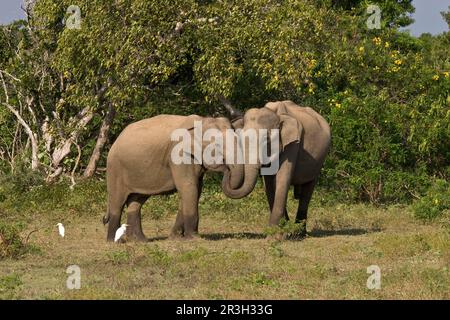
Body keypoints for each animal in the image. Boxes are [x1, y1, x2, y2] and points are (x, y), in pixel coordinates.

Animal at [103, 114, 243, 241]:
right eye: (217, 145)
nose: (227, 168)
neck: (201, 120)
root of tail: (115, 141)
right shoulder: (178, 154)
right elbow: (188, 187)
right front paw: (194, 238)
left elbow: (195, 190)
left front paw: (176, 238)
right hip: (115, 169)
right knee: (117, 202)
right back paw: (114, 241)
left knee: (136, 201)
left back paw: (139, 240)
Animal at [221, 101, 330, 236]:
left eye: (266, 140)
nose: (227, 168)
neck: (276, 114)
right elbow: (269, 185)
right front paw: (279, 229)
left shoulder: (293, 144)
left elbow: (282, 179)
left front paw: (275, 233)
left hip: (319, 161)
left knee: (307, 190)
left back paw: (300, 232)